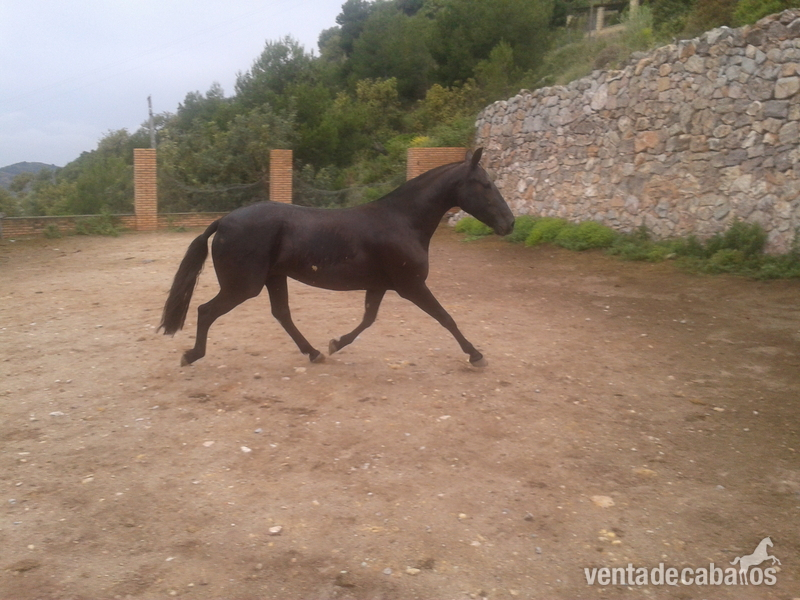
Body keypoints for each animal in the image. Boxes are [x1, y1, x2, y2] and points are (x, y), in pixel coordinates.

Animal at [159, 148, 514, 368]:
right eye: (485, 184)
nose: (510, 223)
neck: (402, 220)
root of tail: (224, 220)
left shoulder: (380, 286)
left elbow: (368, 319)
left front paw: (335, 343)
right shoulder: (411, 286)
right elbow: (445, 317)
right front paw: (476, 355)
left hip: (274, 278)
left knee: (282, 314)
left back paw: (315, 352)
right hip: (243, 286)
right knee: (206, 311)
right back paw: (191, 355)